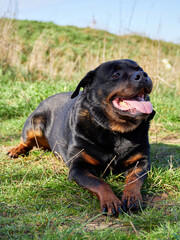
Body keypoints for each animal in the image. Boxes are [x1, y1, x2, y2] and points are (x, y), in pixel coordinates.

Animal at [7, 59, 155, 216]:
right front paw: (111, 201)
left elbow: (134, 179)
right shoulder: (79, 168)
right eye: (116, 75)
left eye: (140, 69)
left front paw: (132, 196)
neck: (114, 131)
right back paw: (16, 150)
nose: (142, 75)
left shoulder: (141, 161)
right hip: (35, 123)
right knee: (26, 141)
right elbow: (100, 183)